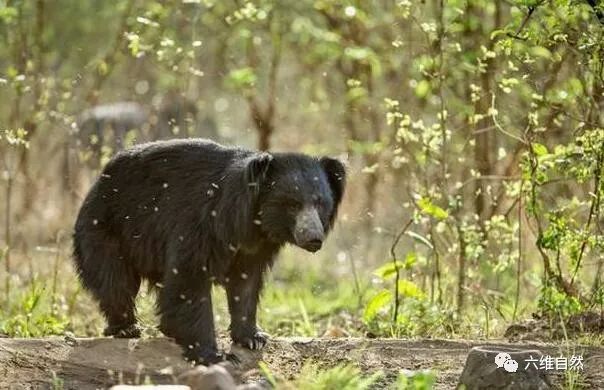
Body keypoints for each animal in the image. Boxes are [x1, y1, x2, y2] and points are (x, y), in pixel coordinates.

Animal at [72, 139, 344, 364]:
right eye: (292, 204)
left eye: (321, 203)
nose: (314, 239)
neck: (251, 224)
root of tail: (97, 183)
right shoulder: (201, 224)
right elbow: (190, 280)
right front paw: (214, 355)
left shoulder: (254, 247)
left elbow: (245, 284)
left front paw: (254, 338)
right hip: (107, 228)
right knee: (115, 281)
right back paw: (126, 327)